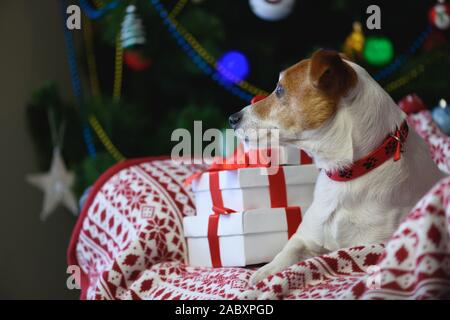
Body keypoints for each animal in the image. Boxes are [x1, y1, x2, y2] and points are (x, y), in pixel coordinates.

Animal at [229, 48, 446, 284]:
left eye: (279, 90)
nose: (232, 118)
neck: (347, 174)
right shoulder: (305, 236)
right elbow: (286, 252)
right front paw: (264, 272)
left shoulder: (375, 244)